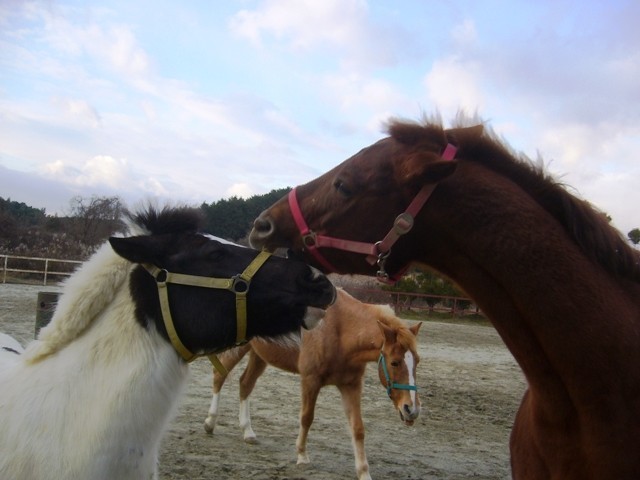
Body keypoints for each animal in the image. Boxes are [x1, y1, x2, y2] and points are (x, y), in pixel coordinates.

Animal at [203, 287, 421, 480]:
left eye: (417, 361)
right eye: (395, 362)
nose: (411, 410)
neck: (339, 331)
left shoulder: (351, 386)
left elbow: (358, 428)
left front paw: (364, 472)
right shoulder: (310, 380)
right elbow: (307, 418)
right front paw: (302, 455)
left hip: (259, 355)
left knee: (245, 384)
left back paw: (247, 432)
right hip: (238, 348)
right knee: (219, 376)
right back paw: (210, 423)